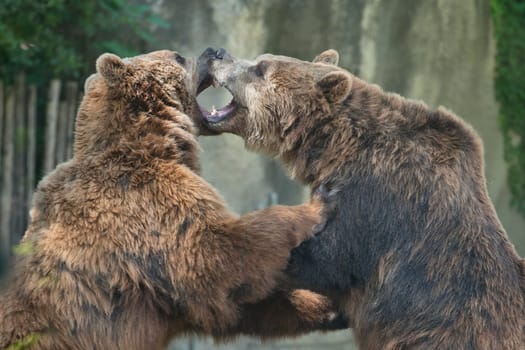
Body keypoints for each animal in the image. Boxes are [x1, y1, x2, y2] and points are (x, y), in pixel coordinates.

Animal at [0, 49, 344, 350]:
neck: (154, 139)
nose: (212, 50)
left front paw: (327, 306)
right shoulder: (145, 206)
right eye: (178, 56)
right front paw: (318, 203)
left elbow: (237, 303)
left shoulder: (169, 296)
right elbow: (216, 254)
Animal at [199, 47, 524, 348]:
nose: (218, 53)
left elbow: (325, 259)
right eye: (259, 59)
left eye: (261, 68)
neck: (337, 147)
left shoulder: (375, 201)